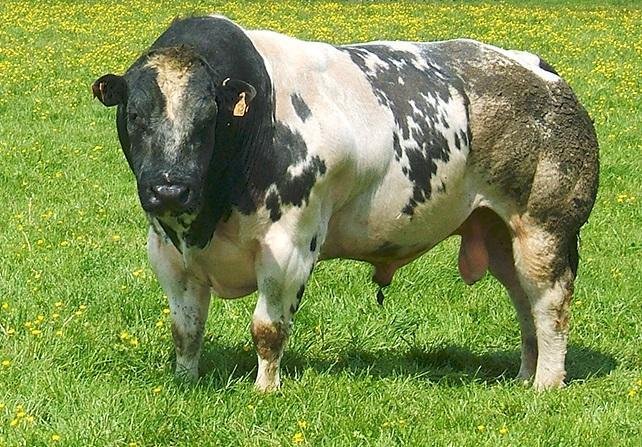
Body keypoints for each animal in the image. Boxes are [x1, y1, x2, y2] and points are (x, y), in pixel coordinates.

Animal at [92, 15, 599, 392]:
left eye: (208, 117)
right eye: (133, 115)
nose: (169, 189)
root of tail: (541, 71)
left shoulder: (290, 246)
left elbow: (267, 328)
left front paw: (265, 389)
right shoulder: (167, 251)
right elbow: (186, 329)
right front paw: (186, 381)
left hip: (546, 227)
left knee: (550, 304)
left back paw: (546, 385)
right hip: (499, 234)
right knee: (524, 303)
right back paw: (524, 375)